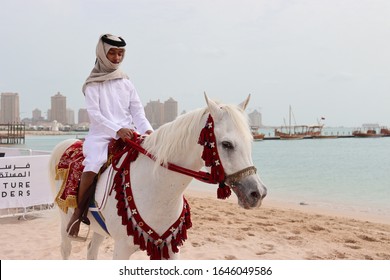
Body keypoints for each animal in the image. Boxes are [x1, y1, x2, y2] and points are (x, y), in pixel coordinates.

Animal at [48, 94, 266, 260]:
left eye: (250, 140)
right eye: (227, 144)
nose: (258, 193)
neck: (158, 190)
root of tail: (67, 144)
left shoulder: (170, 249)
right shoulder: (121, 250)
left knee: (92, 251)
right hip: (65, 223)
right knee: (66, 250)